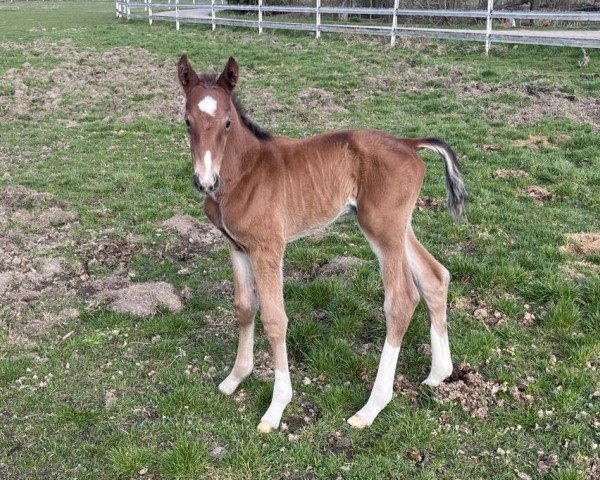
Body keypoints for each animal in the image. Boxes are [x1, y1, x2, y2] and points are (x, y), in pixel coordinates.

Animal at [176, 54, 466, 434]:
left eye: (227, 123)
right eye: (187, 121)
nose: (205, 181)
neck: (245, 172)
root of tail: (408, 142)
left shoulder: (268, 247)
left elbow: (274, 319)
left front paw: (276, 408)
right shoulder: (237, 246)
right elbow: (244, 307)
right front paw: (235, 378)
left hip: (382, 229)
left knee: (402, 299)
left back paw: (370, 408)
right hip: (398, 226)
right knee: (434, 277)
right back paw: (438, 374)